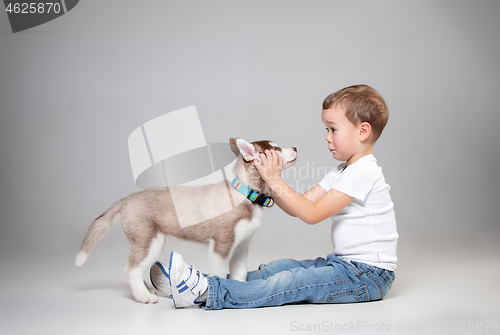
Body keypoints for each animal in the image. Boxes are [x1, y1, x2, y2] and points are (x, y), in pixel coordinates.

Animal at [74, 139, 296, 304]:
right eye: (276, 148)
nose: (295, 147)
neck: (246, 194)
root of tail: (126, 200)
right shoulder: (221, 244)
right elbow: (219, 272)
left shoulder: (242, 245)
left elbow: (239, 273)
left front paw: (240, 290)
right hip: (148, 240)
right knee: (131, 270)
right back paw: (143, 296)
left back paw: (148, 290)